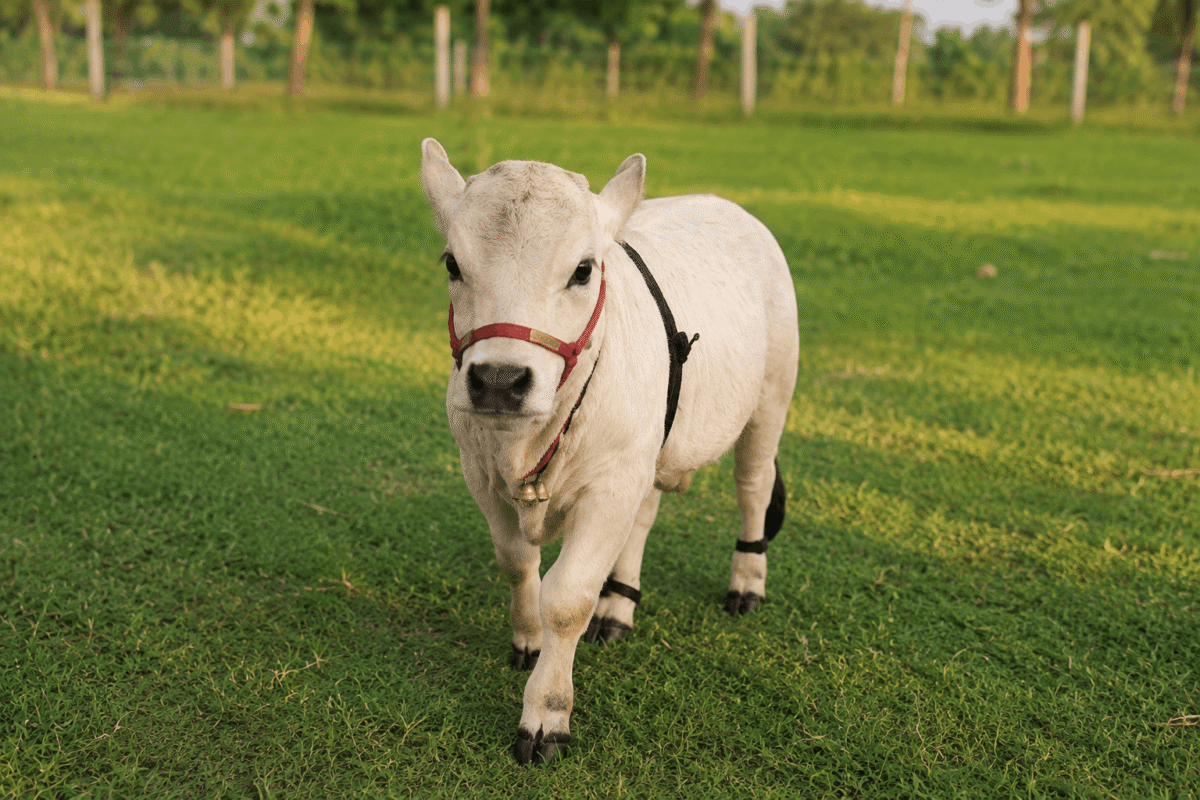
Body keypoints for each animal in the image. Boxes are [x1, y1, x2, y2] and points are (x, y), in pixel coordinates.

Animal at [420, 138, 799, 765]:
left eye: (582, 269)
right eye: (453, 264)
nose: (499, 381)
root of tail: (725, 204)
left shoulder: (610, 483)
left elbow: (568, 598)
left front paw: (546, 714)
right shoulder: (480, 472)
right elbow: (516, 563)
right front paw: (528, 639)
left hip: (770, 397)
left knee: (753, 487)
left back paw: (746, 582)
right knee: (644, 515)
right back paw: (619, 604)